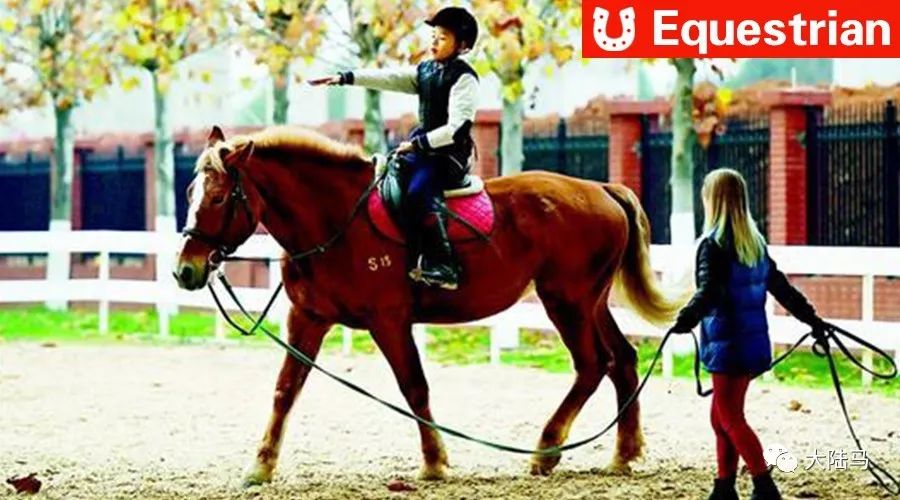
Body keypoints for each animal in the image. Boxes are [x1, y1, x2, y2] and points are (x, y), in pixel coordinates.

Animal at [174, 125, 685, 485]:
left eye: (217, 197)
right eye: (190, 194)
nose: (185, 270)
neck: (336, 220)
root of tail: (600, 189)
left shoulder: (389, 321)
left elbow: (414, 387)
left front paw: (435, 461)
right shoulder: (308, 319)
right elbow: (285, 390)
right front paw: (261, 465)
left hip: (567, 302)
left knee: (592, 365)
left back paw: (546, 449)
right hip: (590, 302)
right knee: (623, 359)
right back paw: (622, 453)